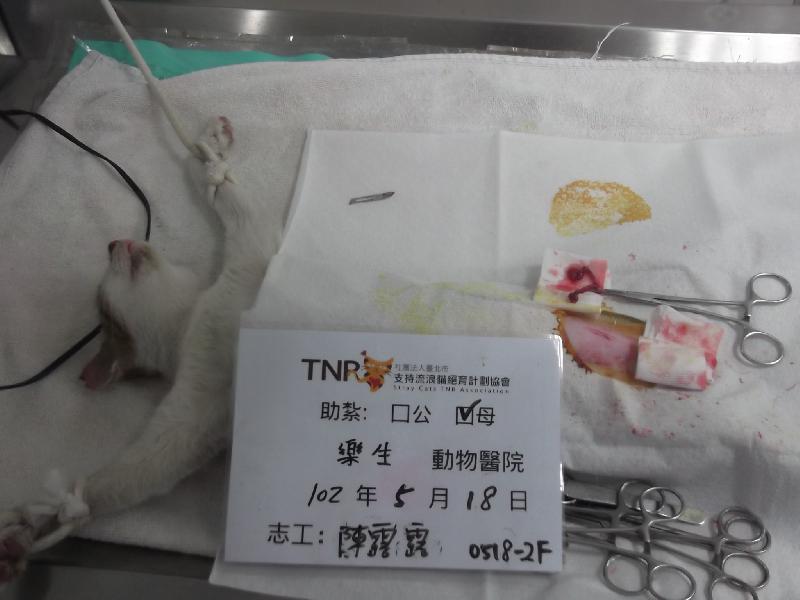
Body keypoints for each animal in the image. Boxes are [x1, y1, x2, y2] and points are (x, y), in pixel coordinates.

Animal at [0, 116, 272, 584]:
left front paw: (210, 153)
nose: (111, 243)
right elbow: (137, 472)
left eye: (103, 311)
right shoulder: (194, 417)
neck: (193, 312)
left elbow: (235, 200)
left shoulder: (255, 253)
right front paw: (52, 516)